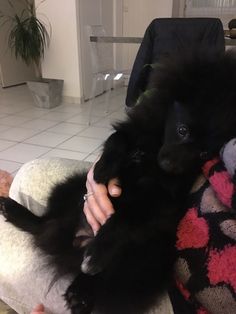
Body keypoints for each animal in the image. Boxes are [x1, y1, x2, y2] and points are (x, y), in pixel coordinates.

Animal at [0, 50, 236, 312]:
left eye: (204, 153)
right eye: (183, 130)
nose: (170, 167)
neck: (152, 155)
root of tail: (75, 243)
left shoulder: (157, 201)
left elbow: (123, 219)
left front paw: (96, 255)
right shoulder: (134, 132)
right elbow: (117, 139)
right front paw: (103, 169)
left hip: (146, 251)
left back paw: (81, 290)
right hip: (71, 189)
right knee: (44, 224)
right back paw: (12, 208)